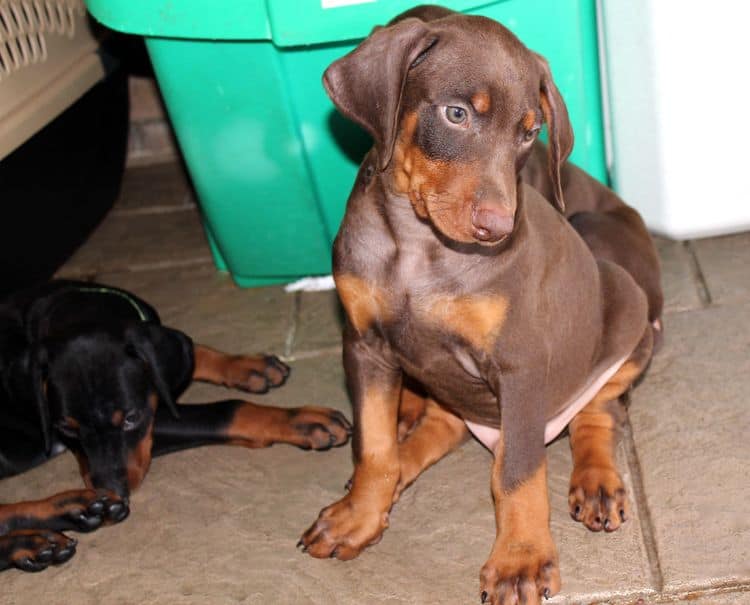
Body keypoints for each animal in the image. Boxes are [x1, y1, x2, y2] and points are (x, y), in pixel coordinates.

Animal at [0, 278, 352, 572]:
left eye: (130, 418)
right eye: (66, 427)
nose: (114, 490)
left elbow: (194, 351)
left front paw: (248, 365)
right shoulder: (159, 419)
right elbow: (229, 408)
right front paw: (302, 419)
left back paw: (76, 510)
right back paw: (35, 539)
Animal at [300, 5, 664, 604]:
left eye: (531, 133)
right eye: (456, 114)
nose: (499, 228)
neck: (418, 246)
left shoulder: (518, 364)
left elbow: (517, 473)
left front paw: (520, 561)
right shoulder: (364, 345)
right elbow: (373, 446)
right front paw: (359, 516)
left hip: (626, 305)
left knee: (600, 408)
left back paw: (596, 479)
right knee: (438, 427)